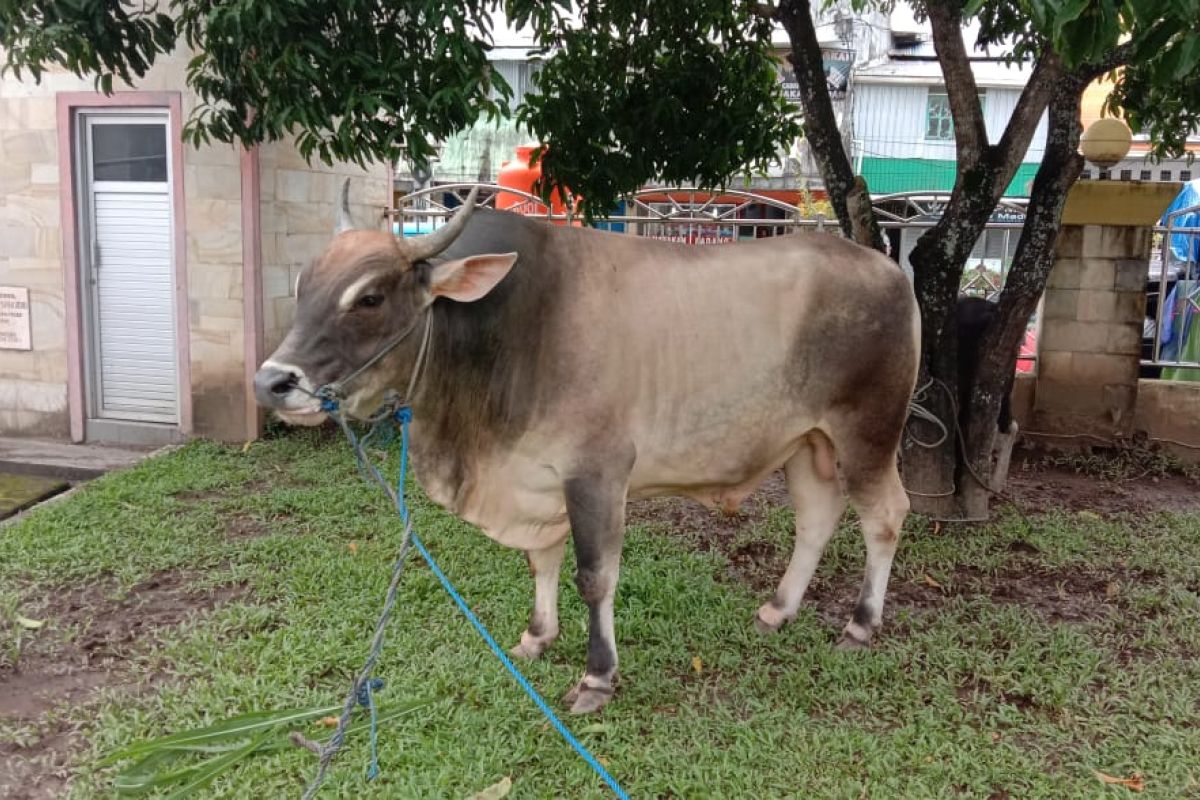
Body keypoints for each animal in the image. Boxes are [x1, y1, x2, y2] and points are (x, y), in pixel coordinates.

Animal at [255, 185, 916, 714]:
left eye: (370, 297)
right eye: (304, 286)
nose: (270, 383)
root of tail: (889, 270)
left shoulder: (597, 473)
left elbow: (594, 577)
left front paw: (597, 678)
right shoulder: (534, 477)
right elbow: (540, 561)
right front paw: (536, 636)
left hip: (867, 435)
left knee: (884, 517)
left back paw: (861, 625)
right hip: (807, 443)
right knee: (816, 520)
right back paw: (778, 609)